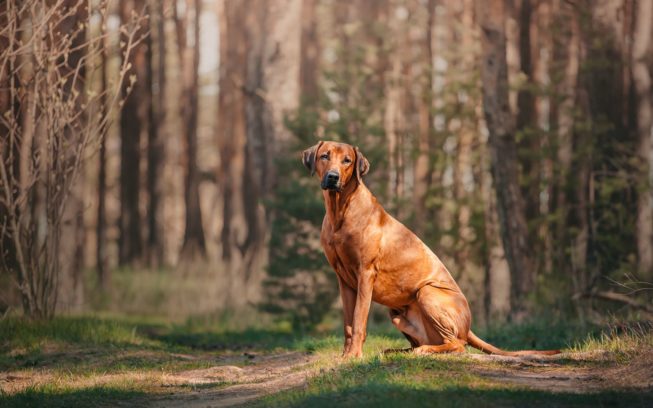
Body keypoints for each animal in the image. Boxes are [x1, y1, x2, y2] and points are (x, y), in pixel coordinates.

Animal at [304, 140, 556, 356]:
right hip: (397, 313)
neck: (340, 211)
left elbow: (358, 321)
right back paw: (400, 351)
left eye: (347, 160)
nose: (333, 177)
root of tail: (468, 327)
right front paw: (345, 356)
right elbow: (348, 323)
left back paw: (425, 350)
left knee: (457, 345)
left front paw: (354, 356)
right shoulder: (344, 280)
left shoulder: (365, 274)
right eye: (325, 156)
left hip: (427, 292)